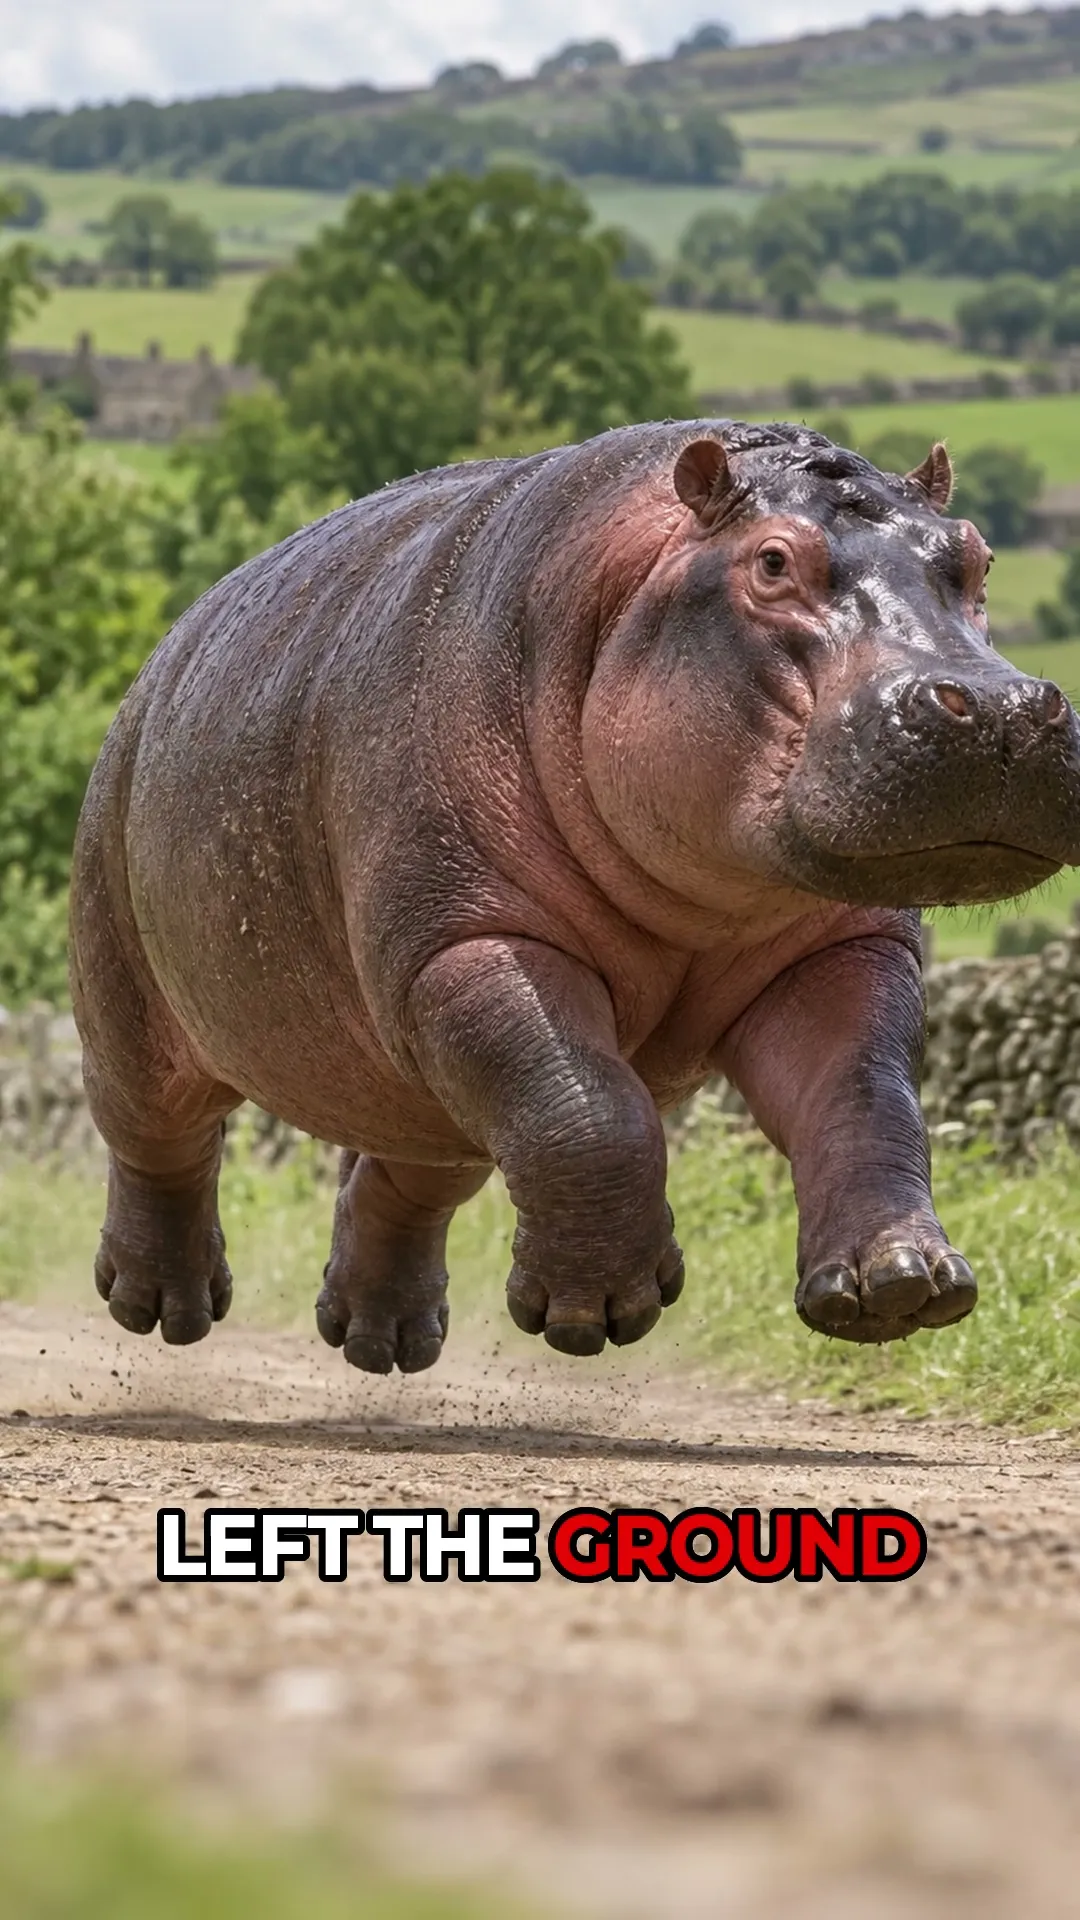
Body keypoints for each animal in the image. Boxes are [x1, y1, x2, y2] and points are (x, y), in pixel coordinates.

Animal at [69, 420, 1080, 1370]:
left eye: (977, 555)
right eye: (772, 561)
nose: (1000, 710)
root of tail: (162, 657)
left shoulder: (842, 948)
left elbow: (863, 1094)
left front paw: (900, 1286)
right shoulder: (462, 941)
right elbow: (588, 1106)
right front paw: (597, 1312)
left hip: (417, 1089)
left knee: (405, 1175)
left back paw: (381, 1341)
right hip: (124, 989)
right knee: (157, 1139)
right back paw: (159, 1308)